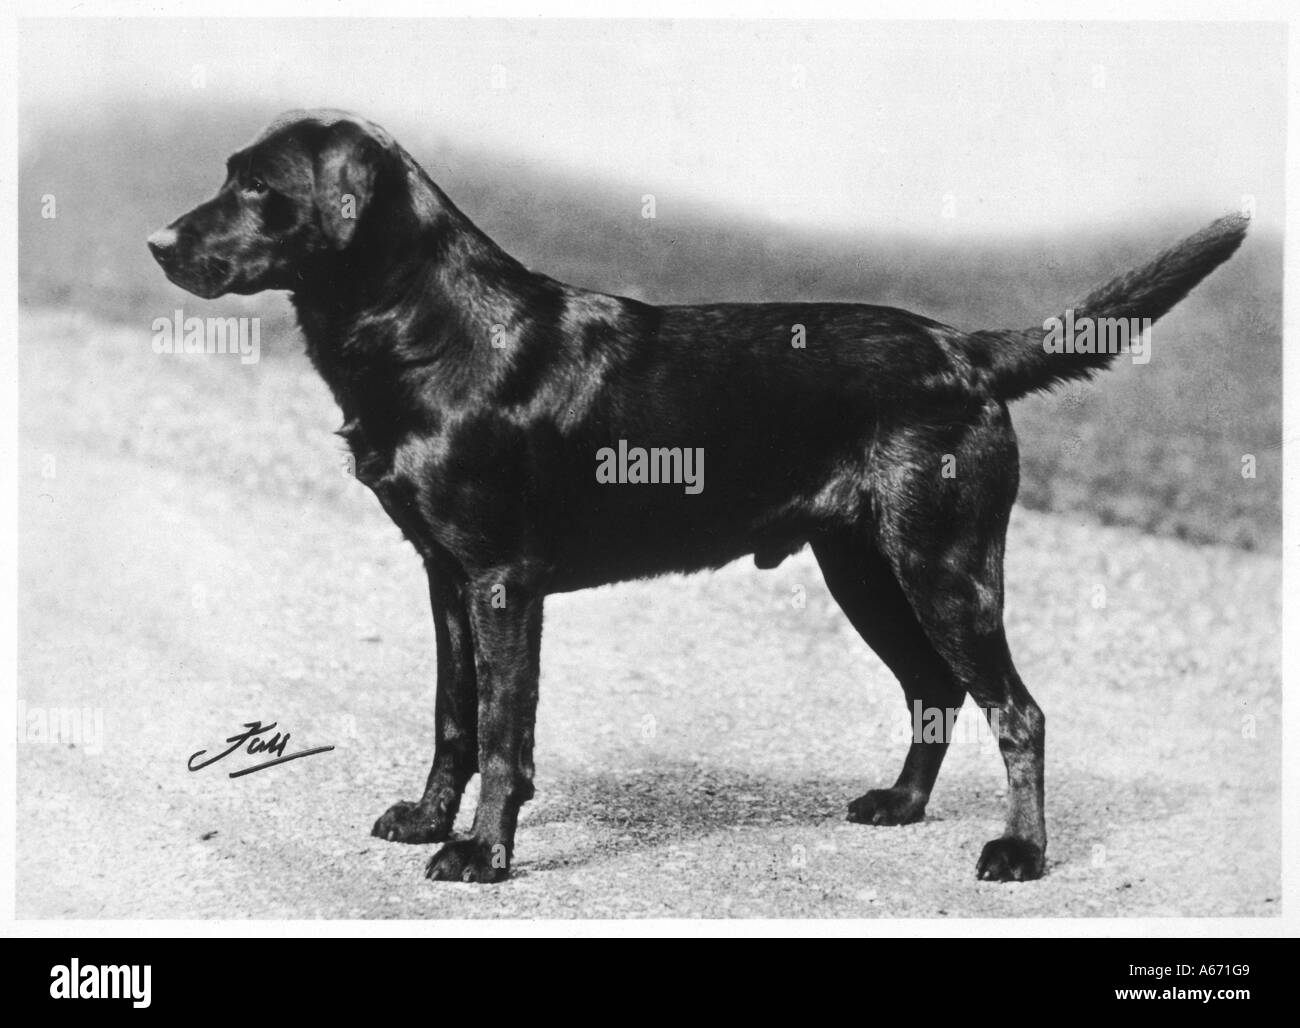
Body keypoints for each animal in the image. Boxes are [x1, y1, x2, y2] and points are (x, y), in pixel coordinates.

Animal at [152, 112, 1248, 883]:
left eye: (257, 187)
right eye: (226, 176)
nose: (160, 241)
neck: (431, 331)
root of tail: (967, 351)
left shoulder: (501, 578)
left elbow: (504, 729)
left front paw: (481, 854)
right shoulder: (441, 572)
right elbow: (452, 715)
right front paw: (427, 820)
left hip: (944, 565)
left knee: (1017, 710)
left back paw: (1018, 853)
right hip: (863, 567)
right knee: (932, 690)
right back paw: (898, 804)